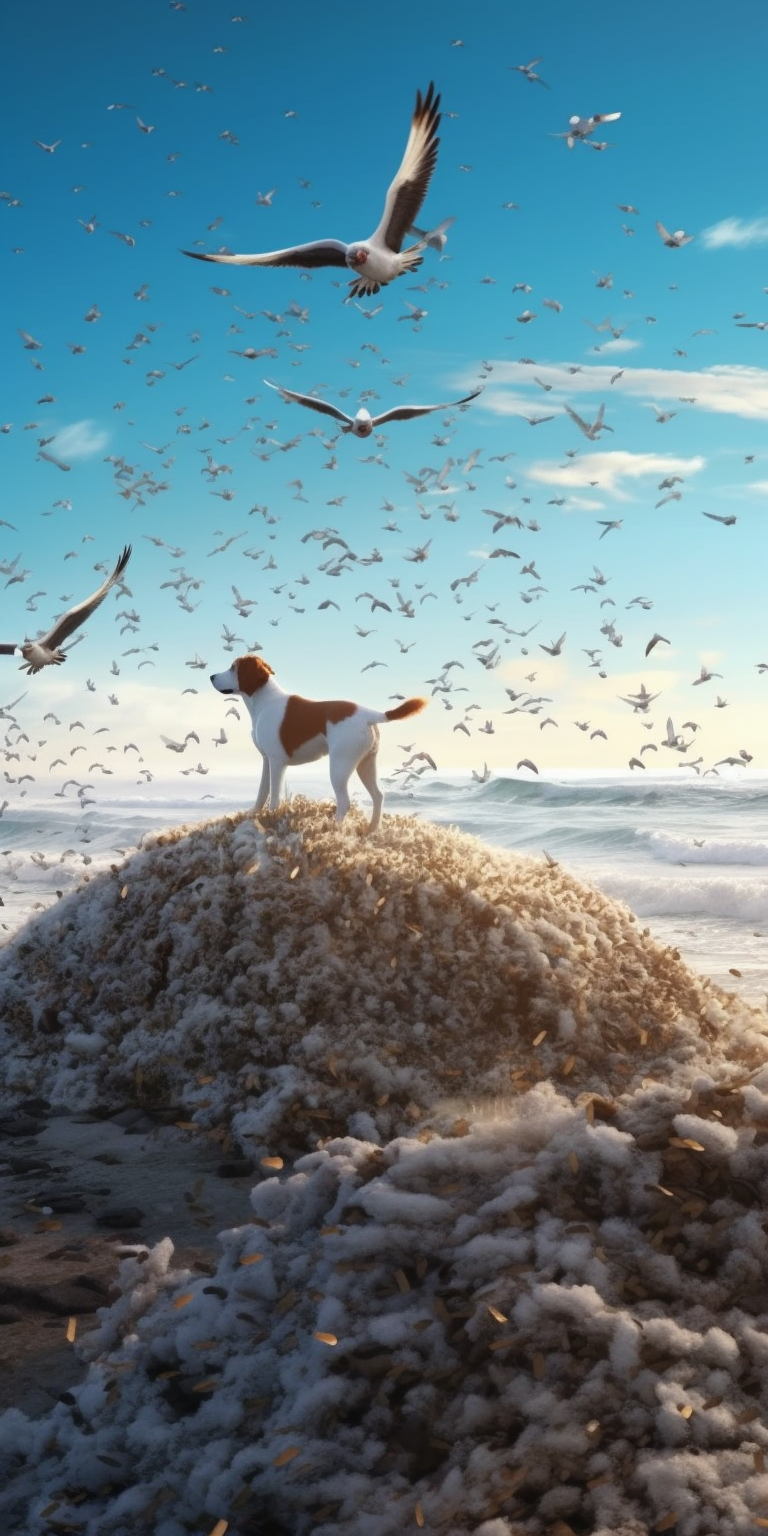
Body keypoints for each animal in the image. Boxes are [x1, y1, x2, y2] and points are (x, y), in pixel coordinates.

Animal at [208, 654, 427, 835]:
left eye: (234, 667)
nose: (211, 676)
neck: (265, 701)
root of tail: (369, 714)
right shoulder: (266, 760)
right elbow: (262, 791)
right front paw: (254, 814)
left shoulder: (277, 762)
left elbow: (274, 797)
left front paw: (271, 819)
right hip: (365, 765)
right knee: (378, 796)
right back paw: (371, 830)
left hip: (339, 768)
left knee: (345, 802)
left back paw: (332, 829)